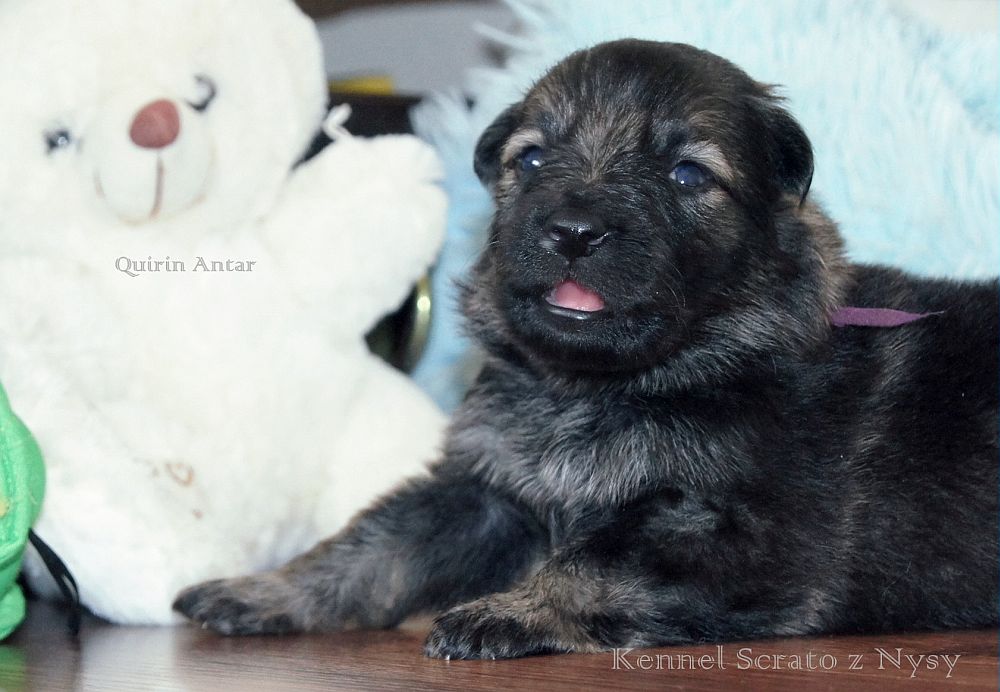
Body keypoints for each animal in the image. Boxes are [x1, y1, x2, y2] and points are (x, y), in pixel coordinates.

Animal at [174, 40, 999, 659]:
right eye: (533, 160)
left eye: (687, 174)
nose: (573, 231)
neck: (601, 387)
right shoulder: (486, 490)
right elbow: (372, 542)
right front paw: (264, 587)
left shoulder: (757, 539)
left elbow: (600, 557)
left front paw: (511, 610)